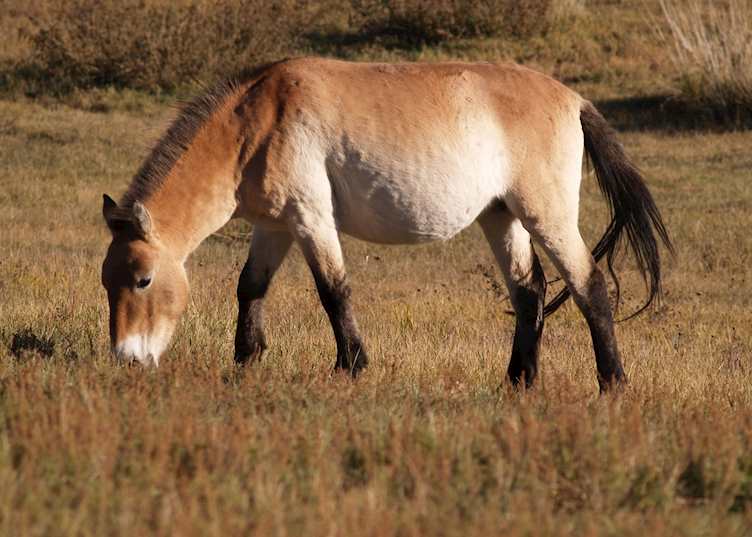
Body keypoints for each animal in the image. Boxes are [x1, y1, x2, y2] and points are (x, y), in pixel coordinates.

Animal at [101, 57, 672, 391]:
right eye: (108, 284)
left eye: (143, 280)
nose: (127, 359)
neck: (256, 122)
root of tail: (573, 100)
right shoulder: (276, 227)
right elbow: (251, 287)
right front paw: (246, 360)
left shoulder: (311, 218)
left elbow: (333, 291)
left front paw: (350, 366)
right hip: (501, 216)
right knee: (529, 291)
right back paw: (518, 381)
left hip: (545, 215)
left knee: (588, 285)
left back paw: (612, 383)